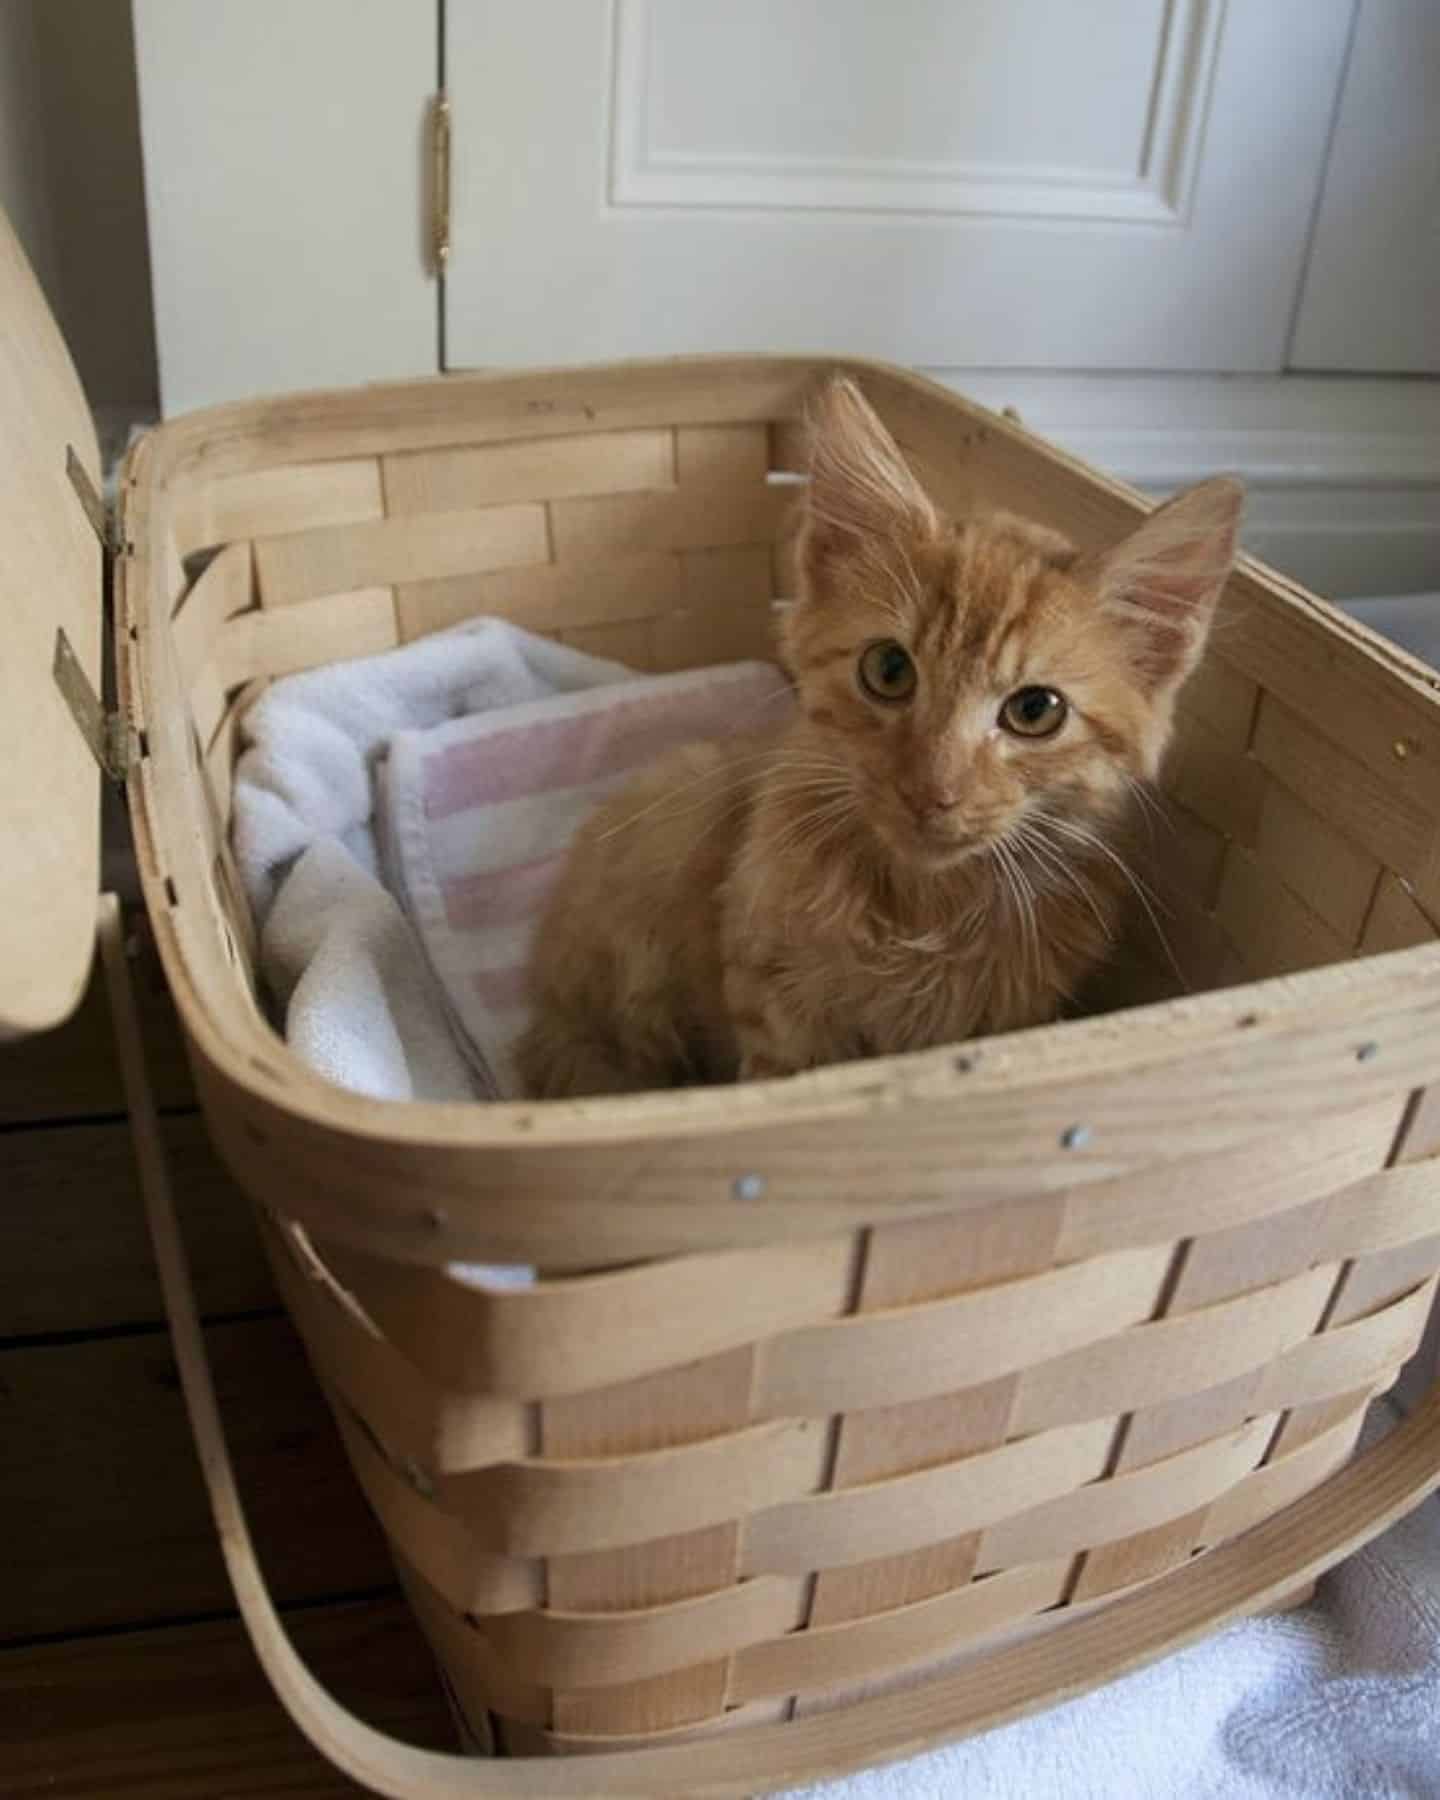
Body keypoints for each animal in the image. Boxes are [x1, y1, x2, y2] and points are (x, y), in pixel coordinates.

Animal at [514, 376, 1238, 1094]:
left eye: (1036, 710)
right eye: (889, 670)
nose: (931, 793)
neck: (921, 909)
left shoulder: (1011, 1018)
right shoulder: (769, 997)